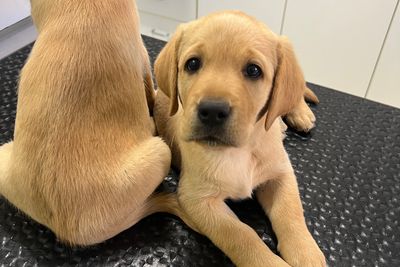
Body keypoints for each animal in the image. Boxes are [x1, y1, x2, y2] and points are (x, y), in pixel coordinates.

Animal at [155, 11, 326, 267]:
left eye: (253, 70)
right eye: (192, 64)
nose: (212, 110)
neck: (240, 150)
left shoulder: (281, 173)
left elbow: (291, 212)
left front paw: (306, 253)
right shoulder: (197, 200)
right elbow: (242, 236)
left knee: (292, 93)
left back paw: (300, 113)